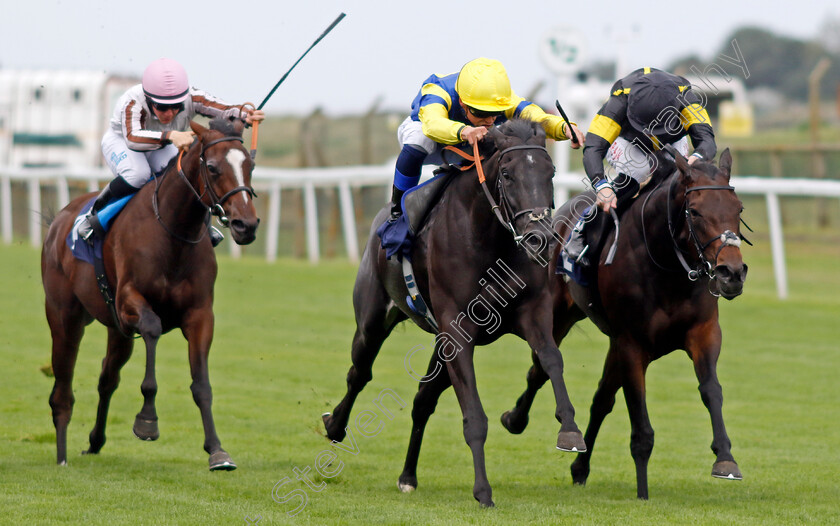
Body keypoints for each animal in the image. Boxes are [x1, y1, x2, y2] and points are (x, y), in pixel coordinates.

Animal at [41, 118, 260, 470]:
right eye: (212, 167)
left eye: (250, 166)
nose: (246, 225)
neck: (174, 232)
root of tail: (59, 221)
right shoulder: (129, 301)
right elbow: (153, 331)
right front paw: (147, 420)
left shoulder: (200, 314)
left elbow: (202, 384)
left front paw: (217, 450)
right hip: (64, 318)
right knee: (62, 387)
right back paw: (61, 455)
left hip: (116, 331)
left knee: (107, 378)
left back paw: (95, 441)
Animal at [322, 119, 584, 508]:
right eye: (507, 174)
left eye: (550, 172)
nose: (540, 237)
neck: (489, 239)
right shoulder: (459, 334)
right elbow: (474, 415)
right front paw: (483, 491)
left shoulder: (532, 313)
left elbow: (550, 359)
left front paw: (569, 430)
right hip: (372, 320)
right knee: (359, 373)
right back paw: (335, 426)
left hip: (439, 344)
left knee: (422, 400)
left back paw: (408, 476)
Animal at [498, 147, 748, 500]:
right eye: (695, 212)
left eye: (738, 208)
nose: (732, 273)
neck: (667, 266)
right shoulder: (632, 344)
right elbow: (640, 420)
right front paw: (642, 491)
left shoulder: (704, 333)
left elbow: (711, 390)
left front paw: (725, 459)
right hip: (560, 316)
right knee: (539, 370)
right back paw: (516, 420)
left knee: (601, 400)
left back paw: (580, 467)